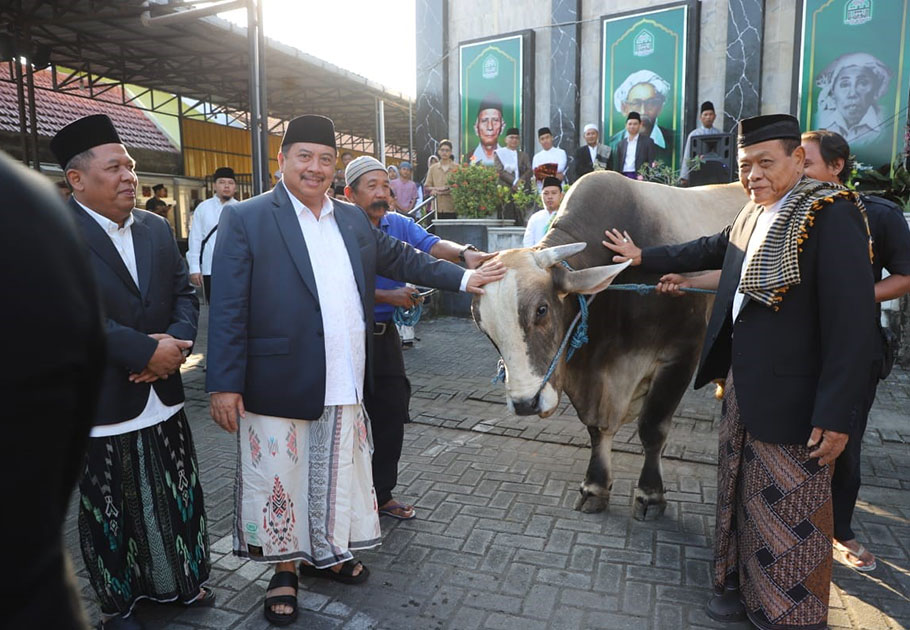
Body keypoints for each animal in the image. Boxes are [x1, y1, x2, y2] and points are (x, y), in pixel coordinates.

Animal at [472, 171, 747, 519]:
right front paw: (595, 486)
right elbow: (597, 430)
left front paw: (650, 494)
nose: (525, 403)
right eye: (483, 325)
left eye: (541, 310)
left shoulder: (681, 356)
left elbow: (652, 428)